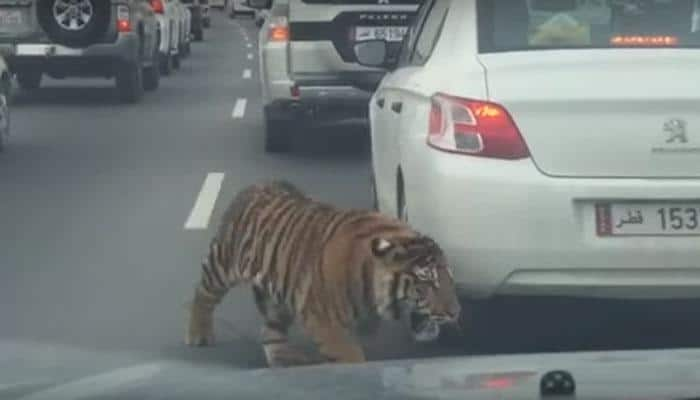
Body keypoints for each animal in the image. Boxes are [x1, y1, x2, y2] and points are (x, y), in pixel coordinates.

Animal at [185, 180, 464, 368]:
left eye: (449, 279)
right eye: (427, 281)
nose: (455, 313)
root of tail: (258, 184)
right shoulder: (328, 324)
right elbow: (351, 356)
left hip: (276, 298)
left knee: (271, 331)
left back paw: (286, 359)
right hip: (223, 263)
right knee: (202, 294)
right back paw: (199, 334)